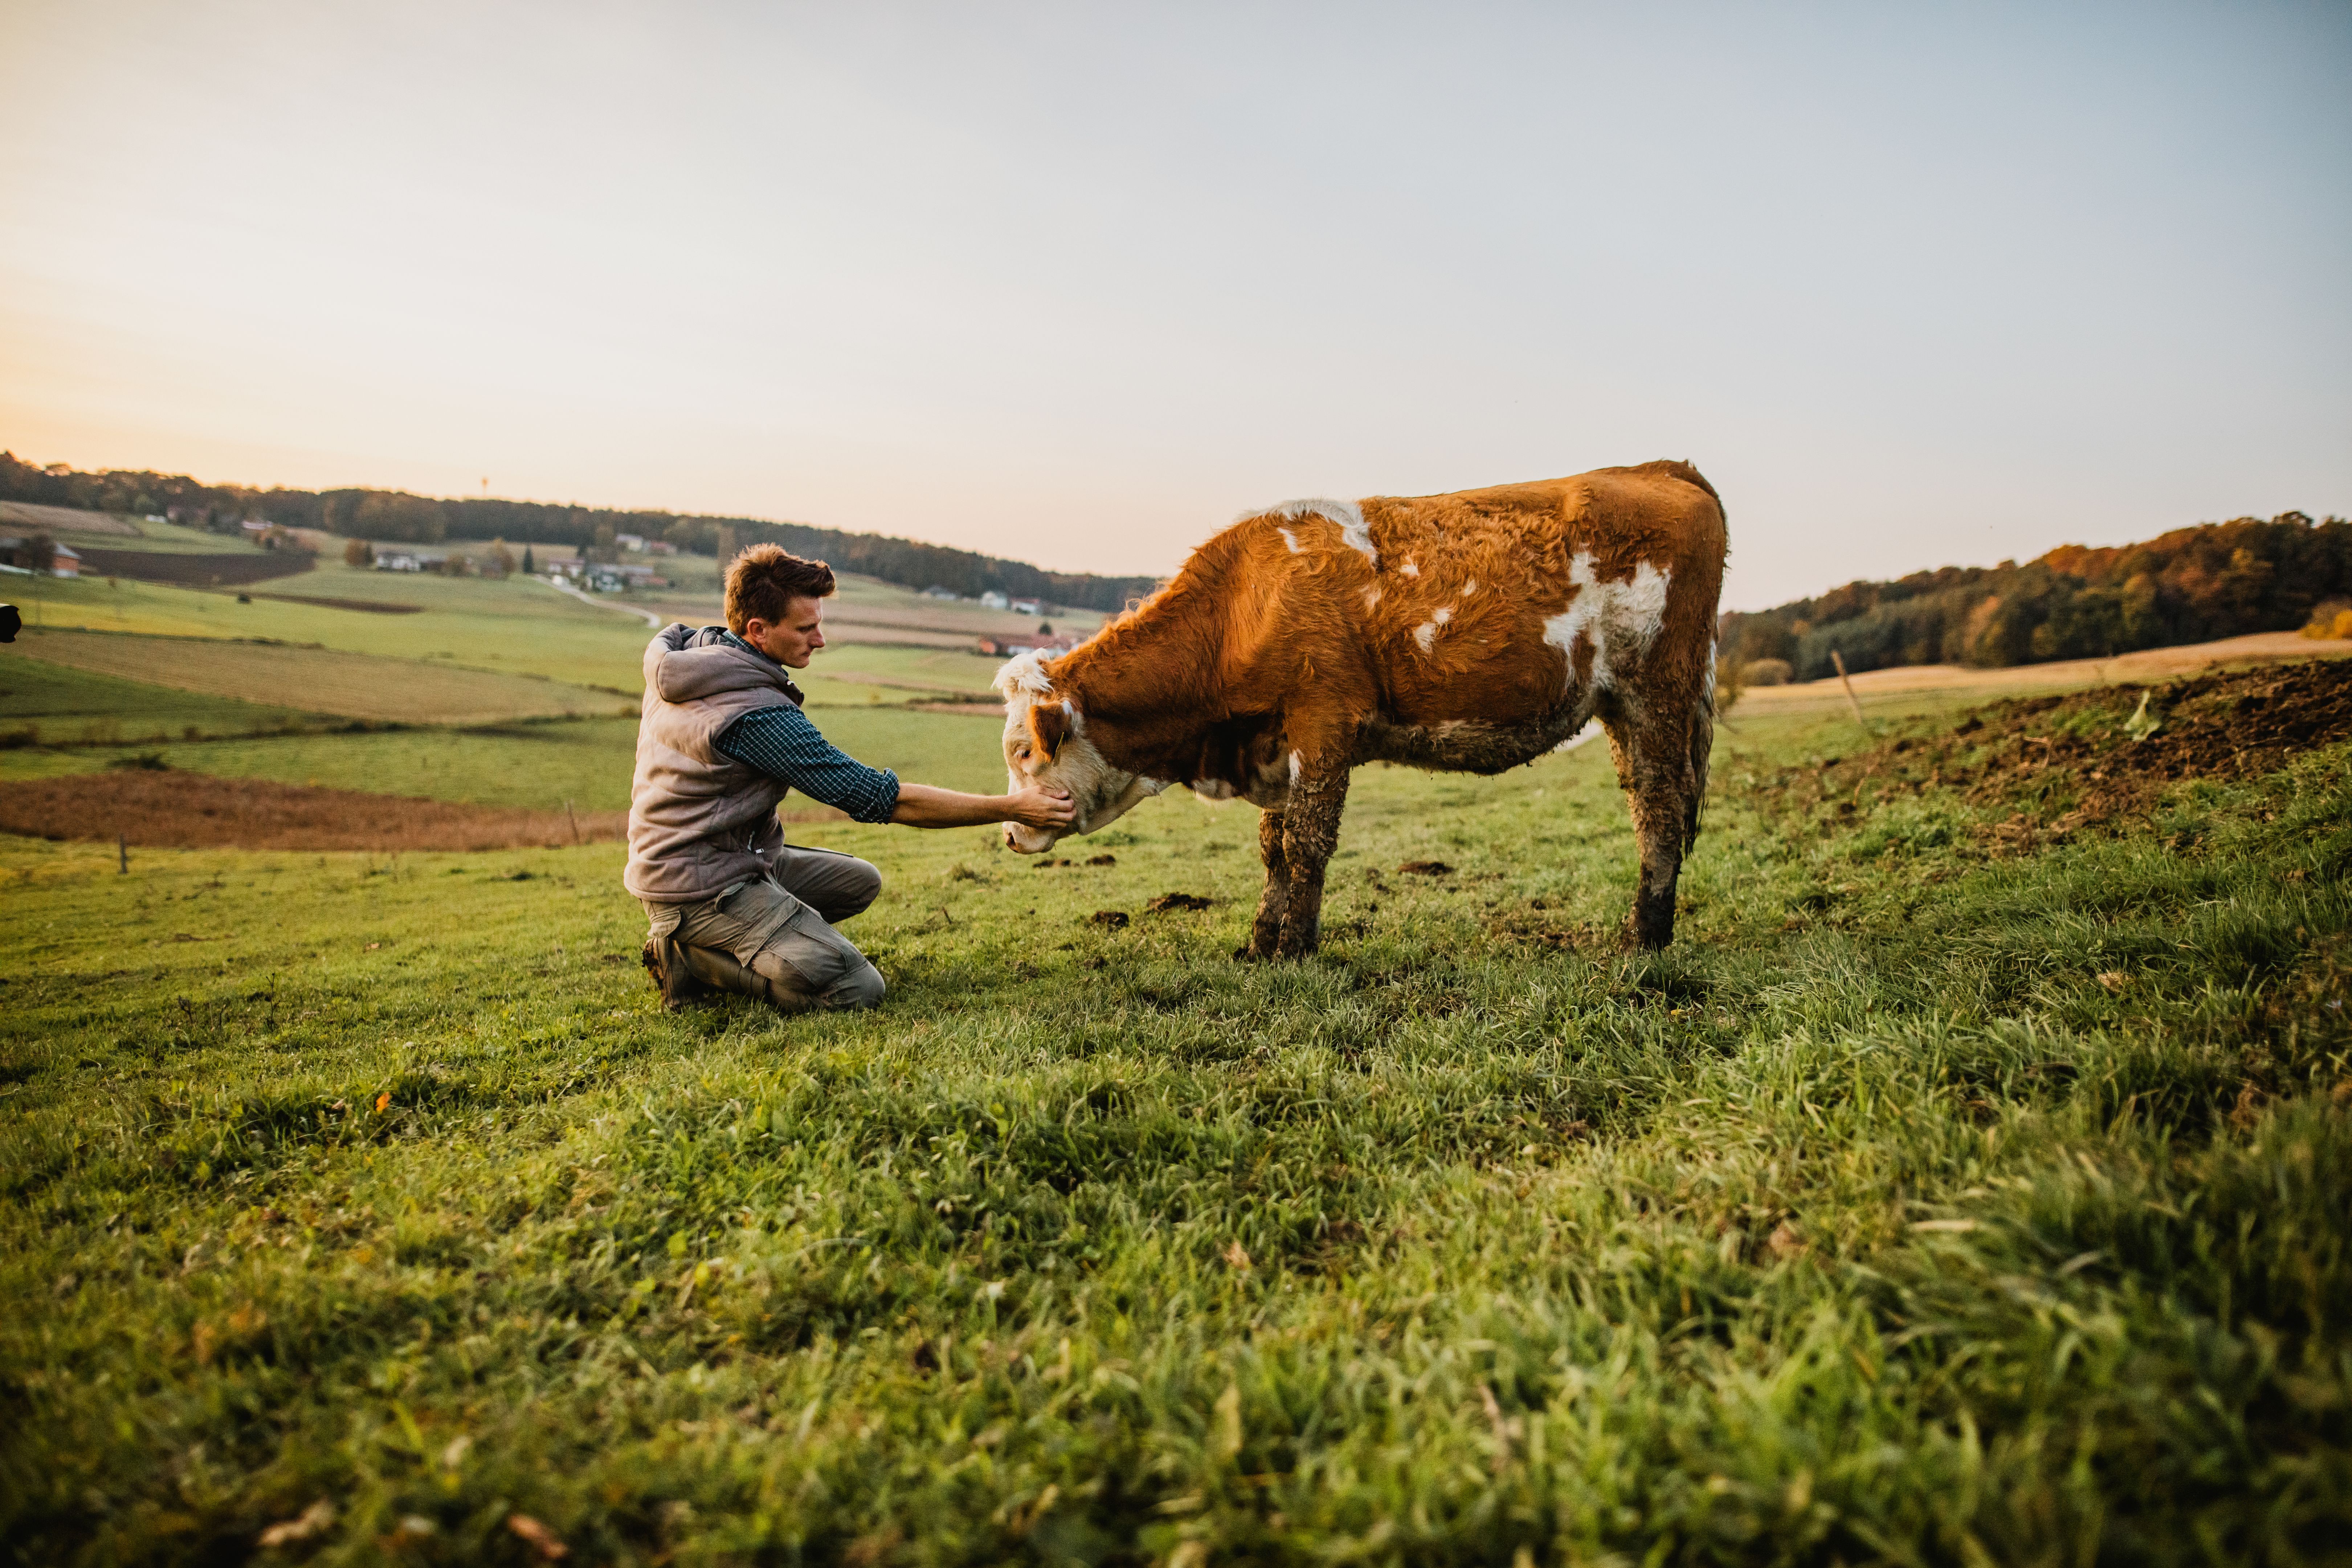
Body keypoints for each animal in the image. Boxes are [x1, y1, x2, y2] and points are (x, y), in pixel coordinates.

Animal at [994, 461, 1728, 958]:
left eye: (1025, 750)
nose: (1008, 834)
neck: (1241, 609)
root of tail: (1659, 468)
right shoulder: (1277, 743)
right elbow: (1274, 847)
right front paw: (1261, 942)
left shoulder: (1324, 723)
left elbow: (1307, 841)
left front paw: (1295, 949)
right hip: (1623, 709)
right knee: (1646, 805)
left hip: (1659, 692)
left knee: (1661, 810)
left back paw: (1645, 938)